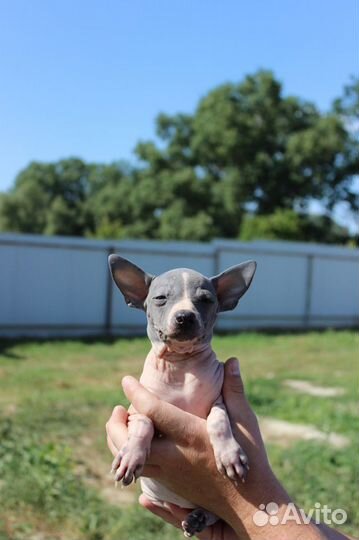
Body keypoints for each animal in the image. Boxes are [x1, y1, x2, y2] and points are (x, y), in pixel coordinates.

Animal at [108, 256, 258, 536]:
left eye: (206, 300)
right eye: (160, 298)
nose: (185, 316)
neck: (180, 365)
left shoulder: (219, 403)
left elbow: (218, 421)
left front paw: (230, 455)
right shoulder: (137, 410)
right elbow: (144, 424)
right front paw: (132, 455)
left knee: (216, 513)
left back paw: (198, 517)